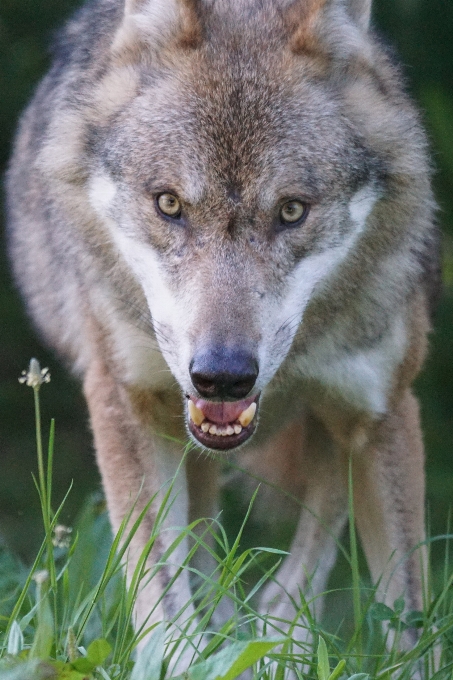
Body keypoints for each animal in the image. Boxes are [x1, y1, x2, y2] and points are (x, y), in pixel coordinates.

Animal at [6, 0, 438, 664]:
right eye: (169, 205)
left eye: (291, 211)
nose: (224, 376)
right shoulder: (125, 400)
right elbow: (160, 595)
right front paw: (186, 659)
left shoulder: (383, 409)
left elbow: (411, 628)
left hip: (335, 430)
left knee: (307, 548)